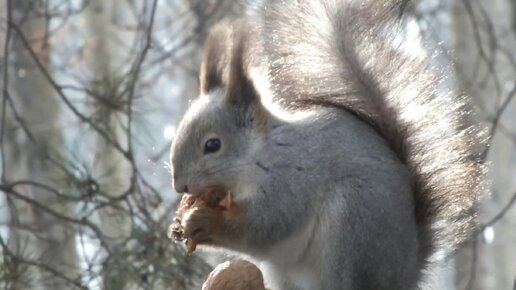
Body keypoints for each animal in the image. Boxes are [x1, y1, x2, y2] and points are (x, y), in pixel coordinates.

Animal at [170, 0, 488, 290]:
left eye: (212, 145)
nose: (179, 185)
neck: (259, 155)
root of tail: (408, 271)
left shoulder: (292, 181)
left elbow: (264, 225)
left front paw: (205, 222)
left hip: (353, 228)